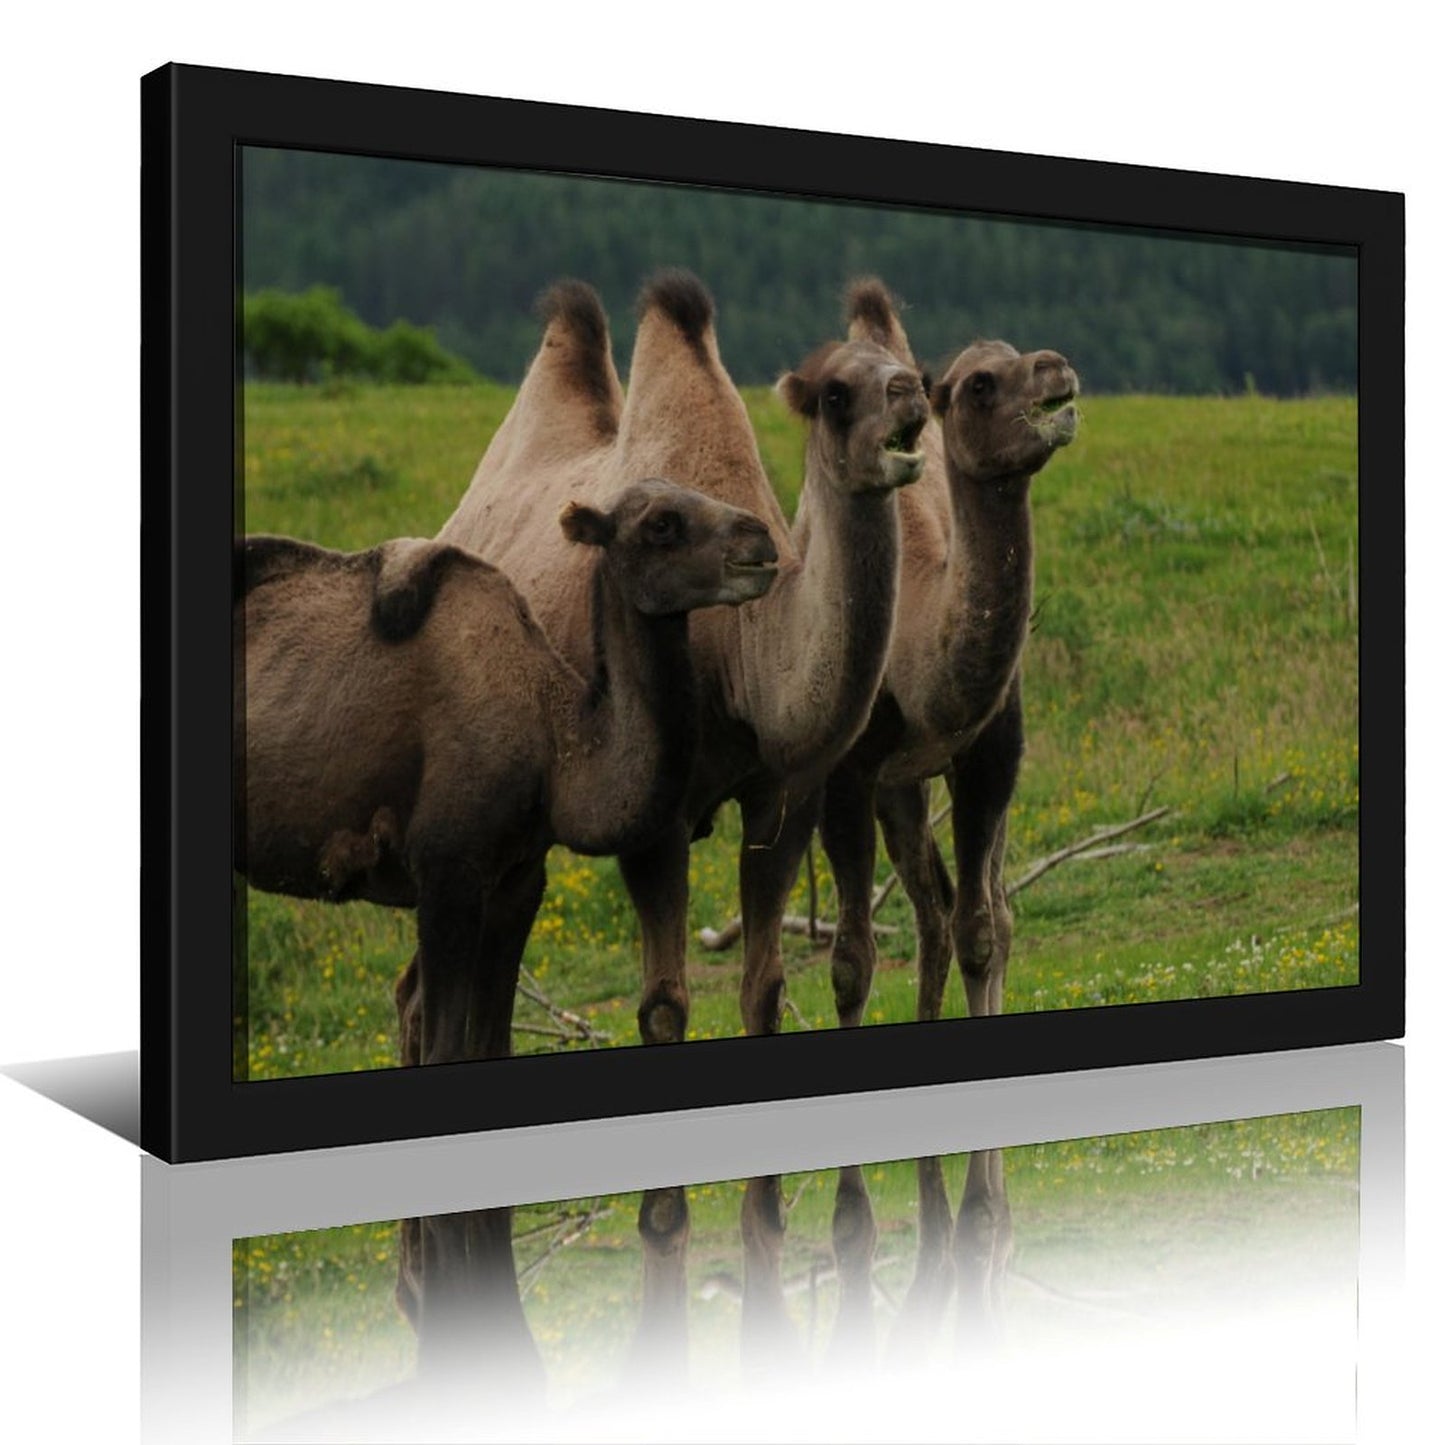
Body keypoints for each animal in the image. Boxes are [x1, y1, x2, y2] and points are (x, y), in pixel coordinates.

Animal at [236, 479, 778, 1065]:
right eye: (661, 524)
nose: (761, 539)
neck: (554, 747)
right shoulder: (447, 873)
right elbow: (446, 1046)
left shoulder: (517, 882)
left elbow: (493, 1038)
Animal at [438, 271, 928, 1040]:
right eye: (835, 393)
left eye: (906, 366)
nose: (911, 391)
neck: (739, 655)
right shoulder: (655, 822)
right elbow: (663, 1003)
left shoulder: (779, 798)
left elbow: (764, 983)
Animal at [815, 281, 1079, 1024]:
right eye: (981, 383)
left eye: (1018, 351)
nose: (1055, 365)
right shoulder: (846, 774)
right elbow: (850, 963)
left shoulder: (990, 754)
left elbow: (982, 930)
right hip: (893, 786)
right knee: (927, 912)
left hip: (922, 781)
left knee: (960, 911)